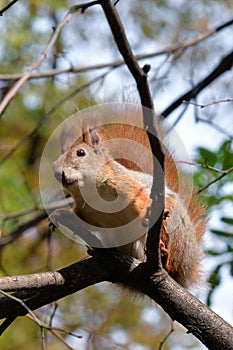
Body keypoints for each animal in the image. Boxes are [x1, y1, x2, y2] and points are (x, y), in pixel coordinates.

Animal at [52, 106, 206, 288]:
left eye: (80, 152)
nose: (58, 173)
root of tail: (187, 272)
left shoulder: (127, 185)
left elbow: (141, 198)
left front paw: (147, 213)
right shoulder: (88, 213)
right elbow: (84, 221)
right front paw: (61, 214)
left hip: (175, 227)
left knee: (171, 263)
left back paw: (163, 256)